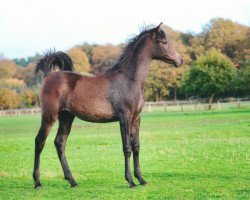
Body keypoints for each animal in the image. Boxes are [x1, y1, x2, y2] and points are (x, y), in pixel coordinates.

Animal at [32, 22, 182, 188]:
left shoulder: (136, 119)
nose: (180, 60)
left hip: (66, 117)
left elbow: (136, 147)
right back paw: (37, 182)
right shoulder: (125, 118)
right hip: (49, 116)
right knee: (39, 141)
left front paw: (141, 179)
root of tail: (48, 75)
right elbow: (127, 148)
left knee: (60, 143)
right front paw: (130, 181)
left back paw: (72, 181)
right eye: (164, 42)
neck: (128, 79)